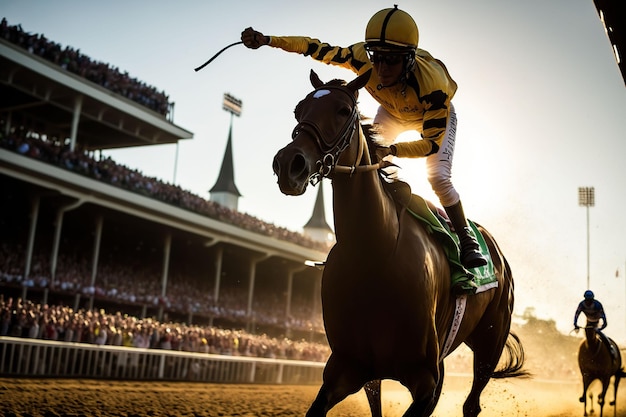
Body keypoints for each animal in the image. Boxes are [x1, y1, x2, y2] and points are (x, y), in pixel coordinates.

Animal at [272, 70, 528, 414]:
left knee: (472, 404)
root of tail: (498, 254)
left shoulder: (425, 380)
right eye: (299, 110)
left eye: (342, 110)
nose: (290, 163)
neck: (373, 253)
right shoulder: (350, 368)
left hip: (490, 342)